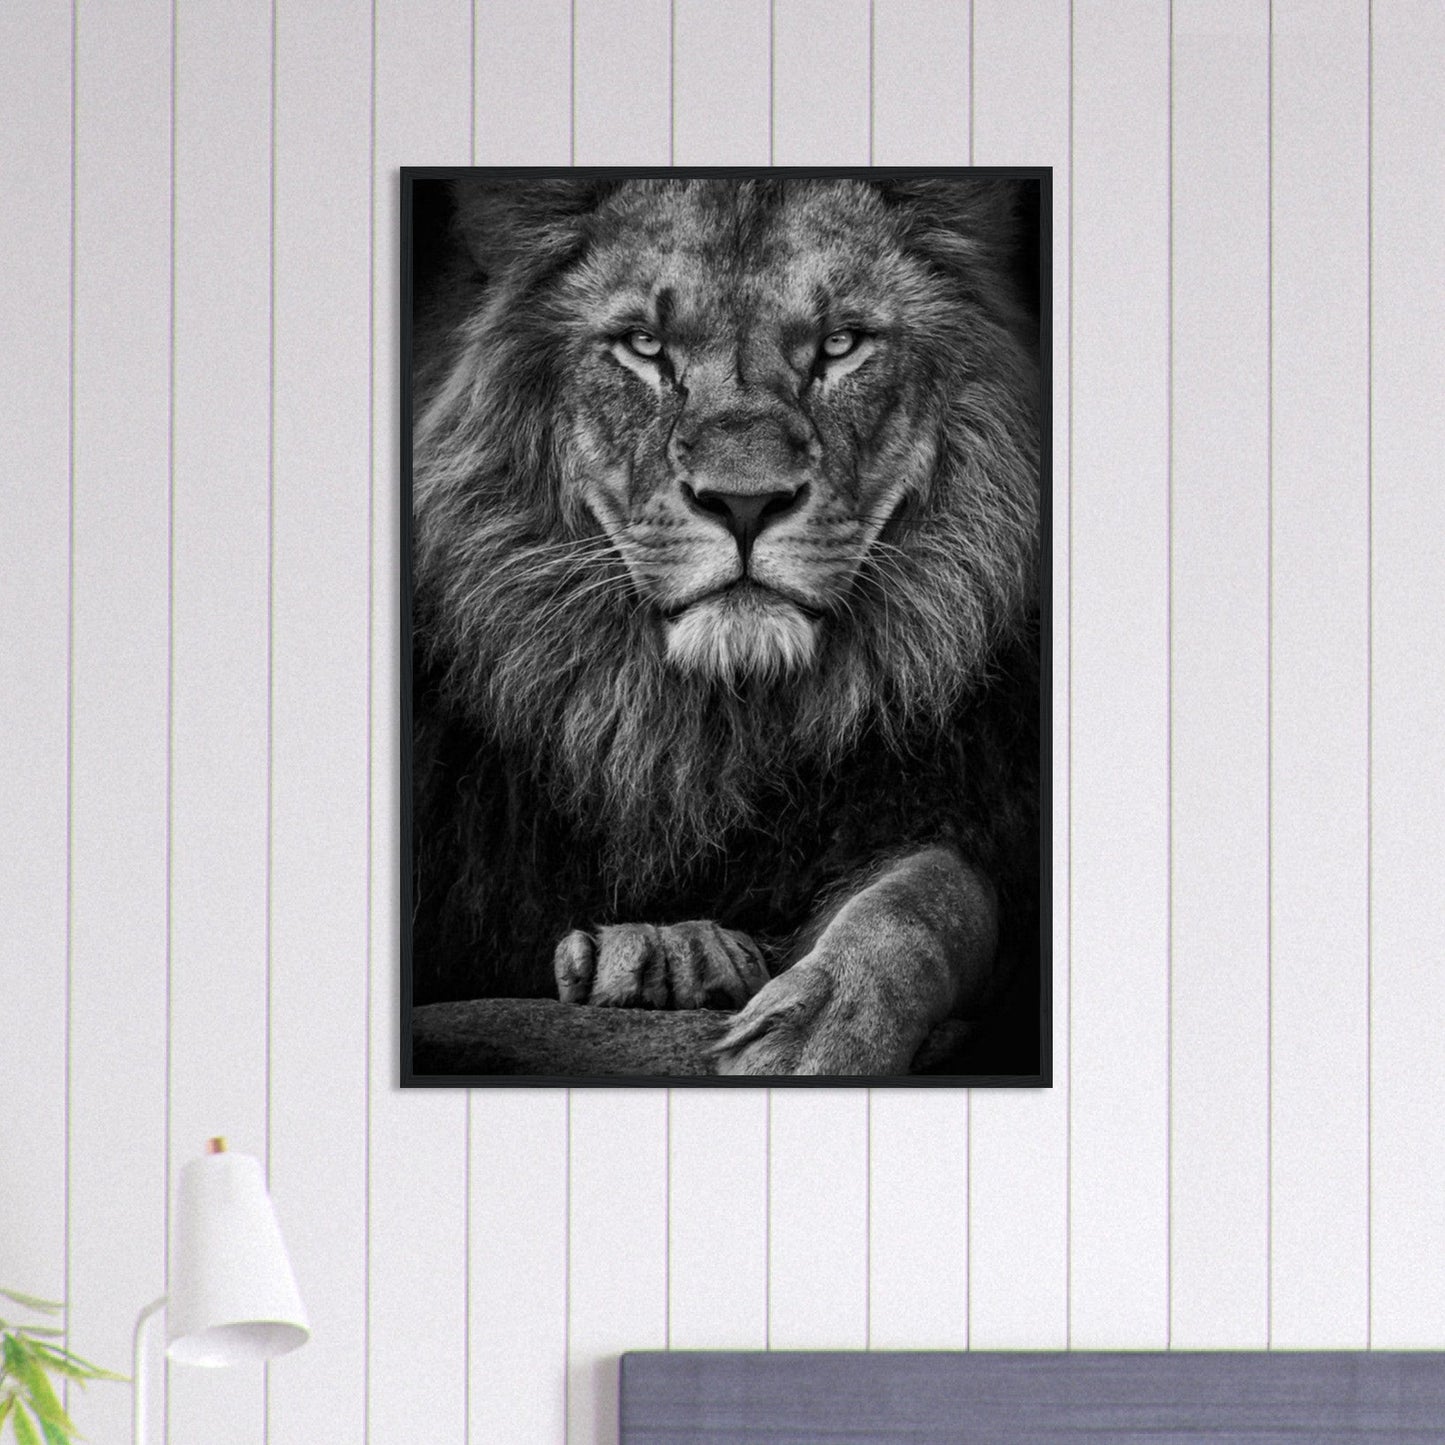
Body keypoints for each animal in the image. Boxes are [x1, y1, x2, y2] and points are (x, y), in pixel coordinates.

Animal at [409, 175, 1042, 1077]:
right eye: (643, 345)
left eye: (840, 344)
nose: (745, 502)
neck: (702, 731)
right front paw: (656, 956)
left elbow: (930, 895)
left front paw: (822, 1028)